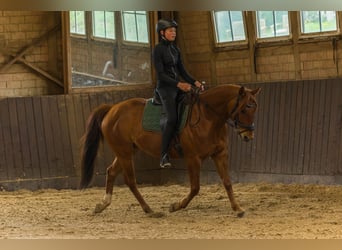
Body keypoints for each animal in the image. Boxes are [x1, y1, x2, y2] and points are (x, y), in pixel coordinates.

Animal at [80, 84, 260, 217]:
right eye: (244, 108)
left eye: (255, 108)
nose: (248, 136)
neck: (208, 117)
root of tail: (112, 109)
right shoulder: (193, 158)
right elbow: (195, 188)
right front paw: (176, 206)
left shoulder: (220, 154)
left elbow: (227, 182)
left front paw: (237, 208)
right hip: (124, 153)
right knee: (130, 180)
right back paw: (149, 210)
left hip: (127, 151)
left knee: (111, 171)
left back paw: (103, 204)